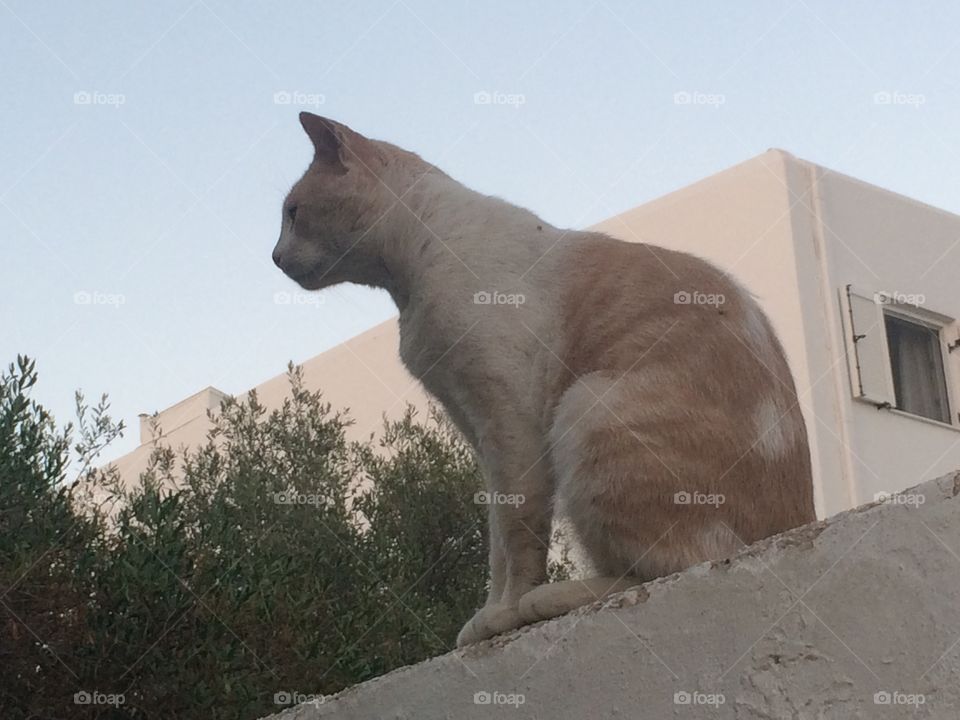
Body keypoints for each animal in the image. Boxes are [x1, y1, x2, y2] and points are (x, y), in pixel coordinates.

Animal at [272, 112, 816, 648]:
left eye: (292, 213)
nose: (274, 257)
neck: (409, 275)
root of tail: (802, 521)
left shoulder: (511, 425)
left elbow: (517, 534)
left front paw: (505, 614)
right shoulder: (476, 427)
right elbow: (496, 543)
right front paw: (487, 617)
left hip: (584, 408)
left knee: (674, 565)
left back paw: (551, 599)